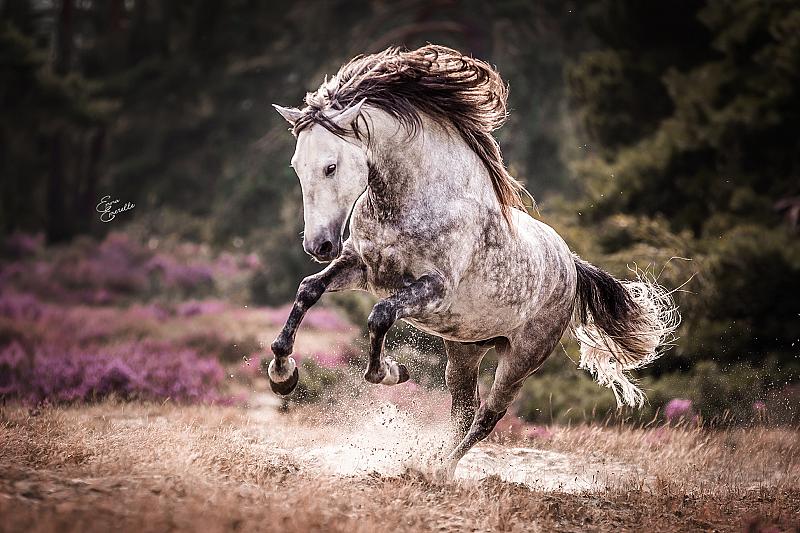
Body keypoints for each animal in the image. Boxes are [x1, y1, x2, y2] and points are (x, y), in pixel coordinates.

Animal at [268, 45, 679, 476]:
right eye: (297, 166)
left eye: (330, 166)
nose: (318, 245)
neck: (415, 199)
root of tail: (571, 266)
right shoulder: (362, 267)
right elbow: (308, 290)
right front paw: (282, 373)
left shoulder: (432, 288)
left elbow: (380, 315)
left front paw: (390, 372)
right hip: (465, 349)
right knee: (464, 410)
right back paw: (431, 463)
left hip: (520, 361)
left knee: (486, 417)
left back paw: (439, 470)